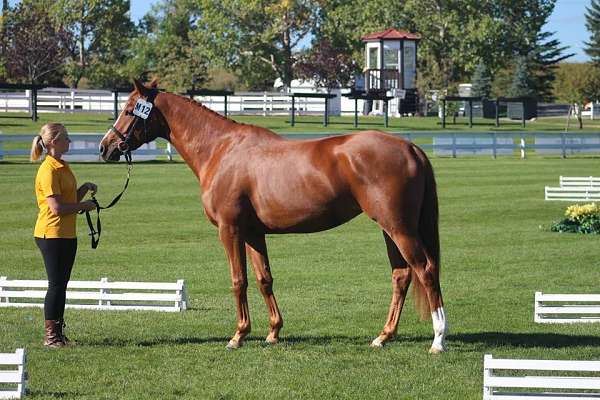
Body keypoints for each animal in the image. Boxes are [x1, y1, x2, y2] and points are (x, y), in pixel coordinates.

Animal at [99, 80, 446, 354]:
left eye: (129, 110)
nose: (106, 147)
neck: (220, 149)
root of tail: (410, 147)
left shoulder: (230, 230)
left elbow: (238, 280)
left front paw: (238, 335)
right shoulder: (254, 233)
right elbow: (264, 279)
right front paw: (273, 331)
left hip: (399, 228)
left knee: (426, 270)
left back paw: (438, 339)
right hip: (390, 229)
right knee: (401, 276)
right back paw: (383, 336)